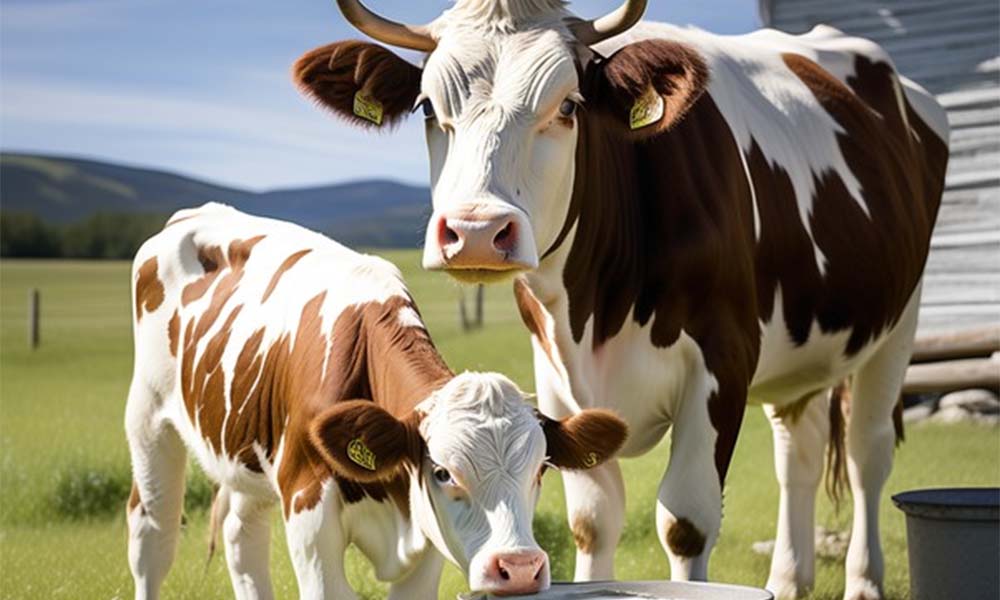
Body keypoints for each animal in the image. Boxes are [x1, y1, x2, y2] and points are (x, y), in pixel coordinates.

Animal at [124, 203, 627, 600]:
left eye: (541, 469)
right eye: (443, 472)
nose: (519, 568)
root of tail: (198, 213)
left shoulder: (426, 532)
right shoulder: (309, 514)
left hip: (247, 454)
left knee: (241, 539)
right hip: (149, 417)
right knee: (152, 536)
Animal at [292, 2, 950, 598]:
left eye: (568, 105)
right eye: (429, 106)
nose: (476, 231)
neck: (598, 308)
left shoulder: (722, 361)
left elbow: (686, 522)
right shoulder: (557, 373)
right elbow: (591, 521)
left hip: (900, 322)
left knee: (868, 455)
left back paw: (864, 582)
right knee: (799, 453)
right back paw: (788, 582)